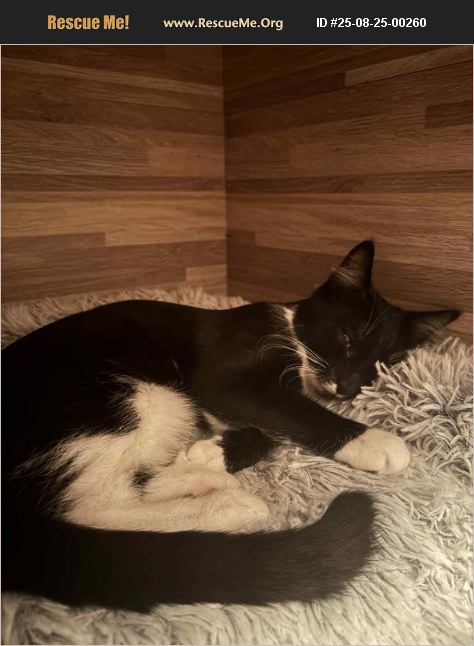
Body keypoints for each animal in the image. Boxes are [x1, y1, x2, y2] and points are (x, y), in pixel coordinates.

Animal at [2, 240, 459, 613]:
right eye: (346, 338)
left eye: (381, 366)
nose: (347, 388)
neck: (291, 332)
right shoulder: (223, 373)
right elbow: (290, 409)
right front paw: (375, 440)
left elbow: (272, 423)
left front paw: (209, 452)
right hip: (130, 392)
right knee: (93, 504)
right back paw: (232, 503)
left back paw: (195, 474)